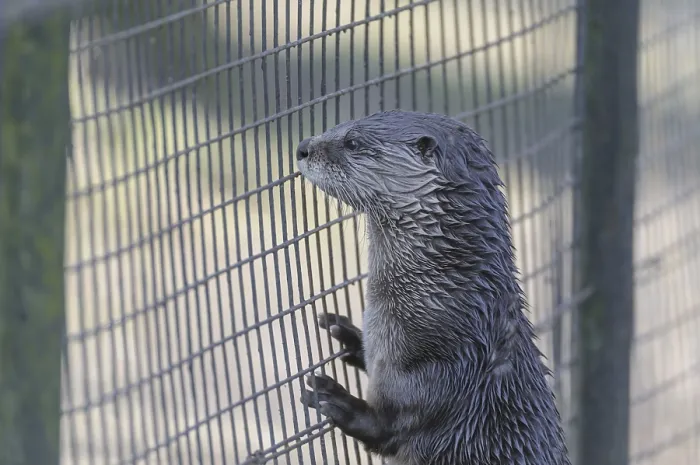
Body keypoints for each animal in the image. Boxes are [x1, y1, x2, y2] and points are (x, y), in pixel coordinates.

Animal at [296, 110, 570, 465]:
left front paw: (339, 401)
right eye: (338, 126)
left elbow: (394, 428)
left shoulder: (451, 366)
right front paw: (349, 336)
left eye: (352, 142)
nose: (302, 147)